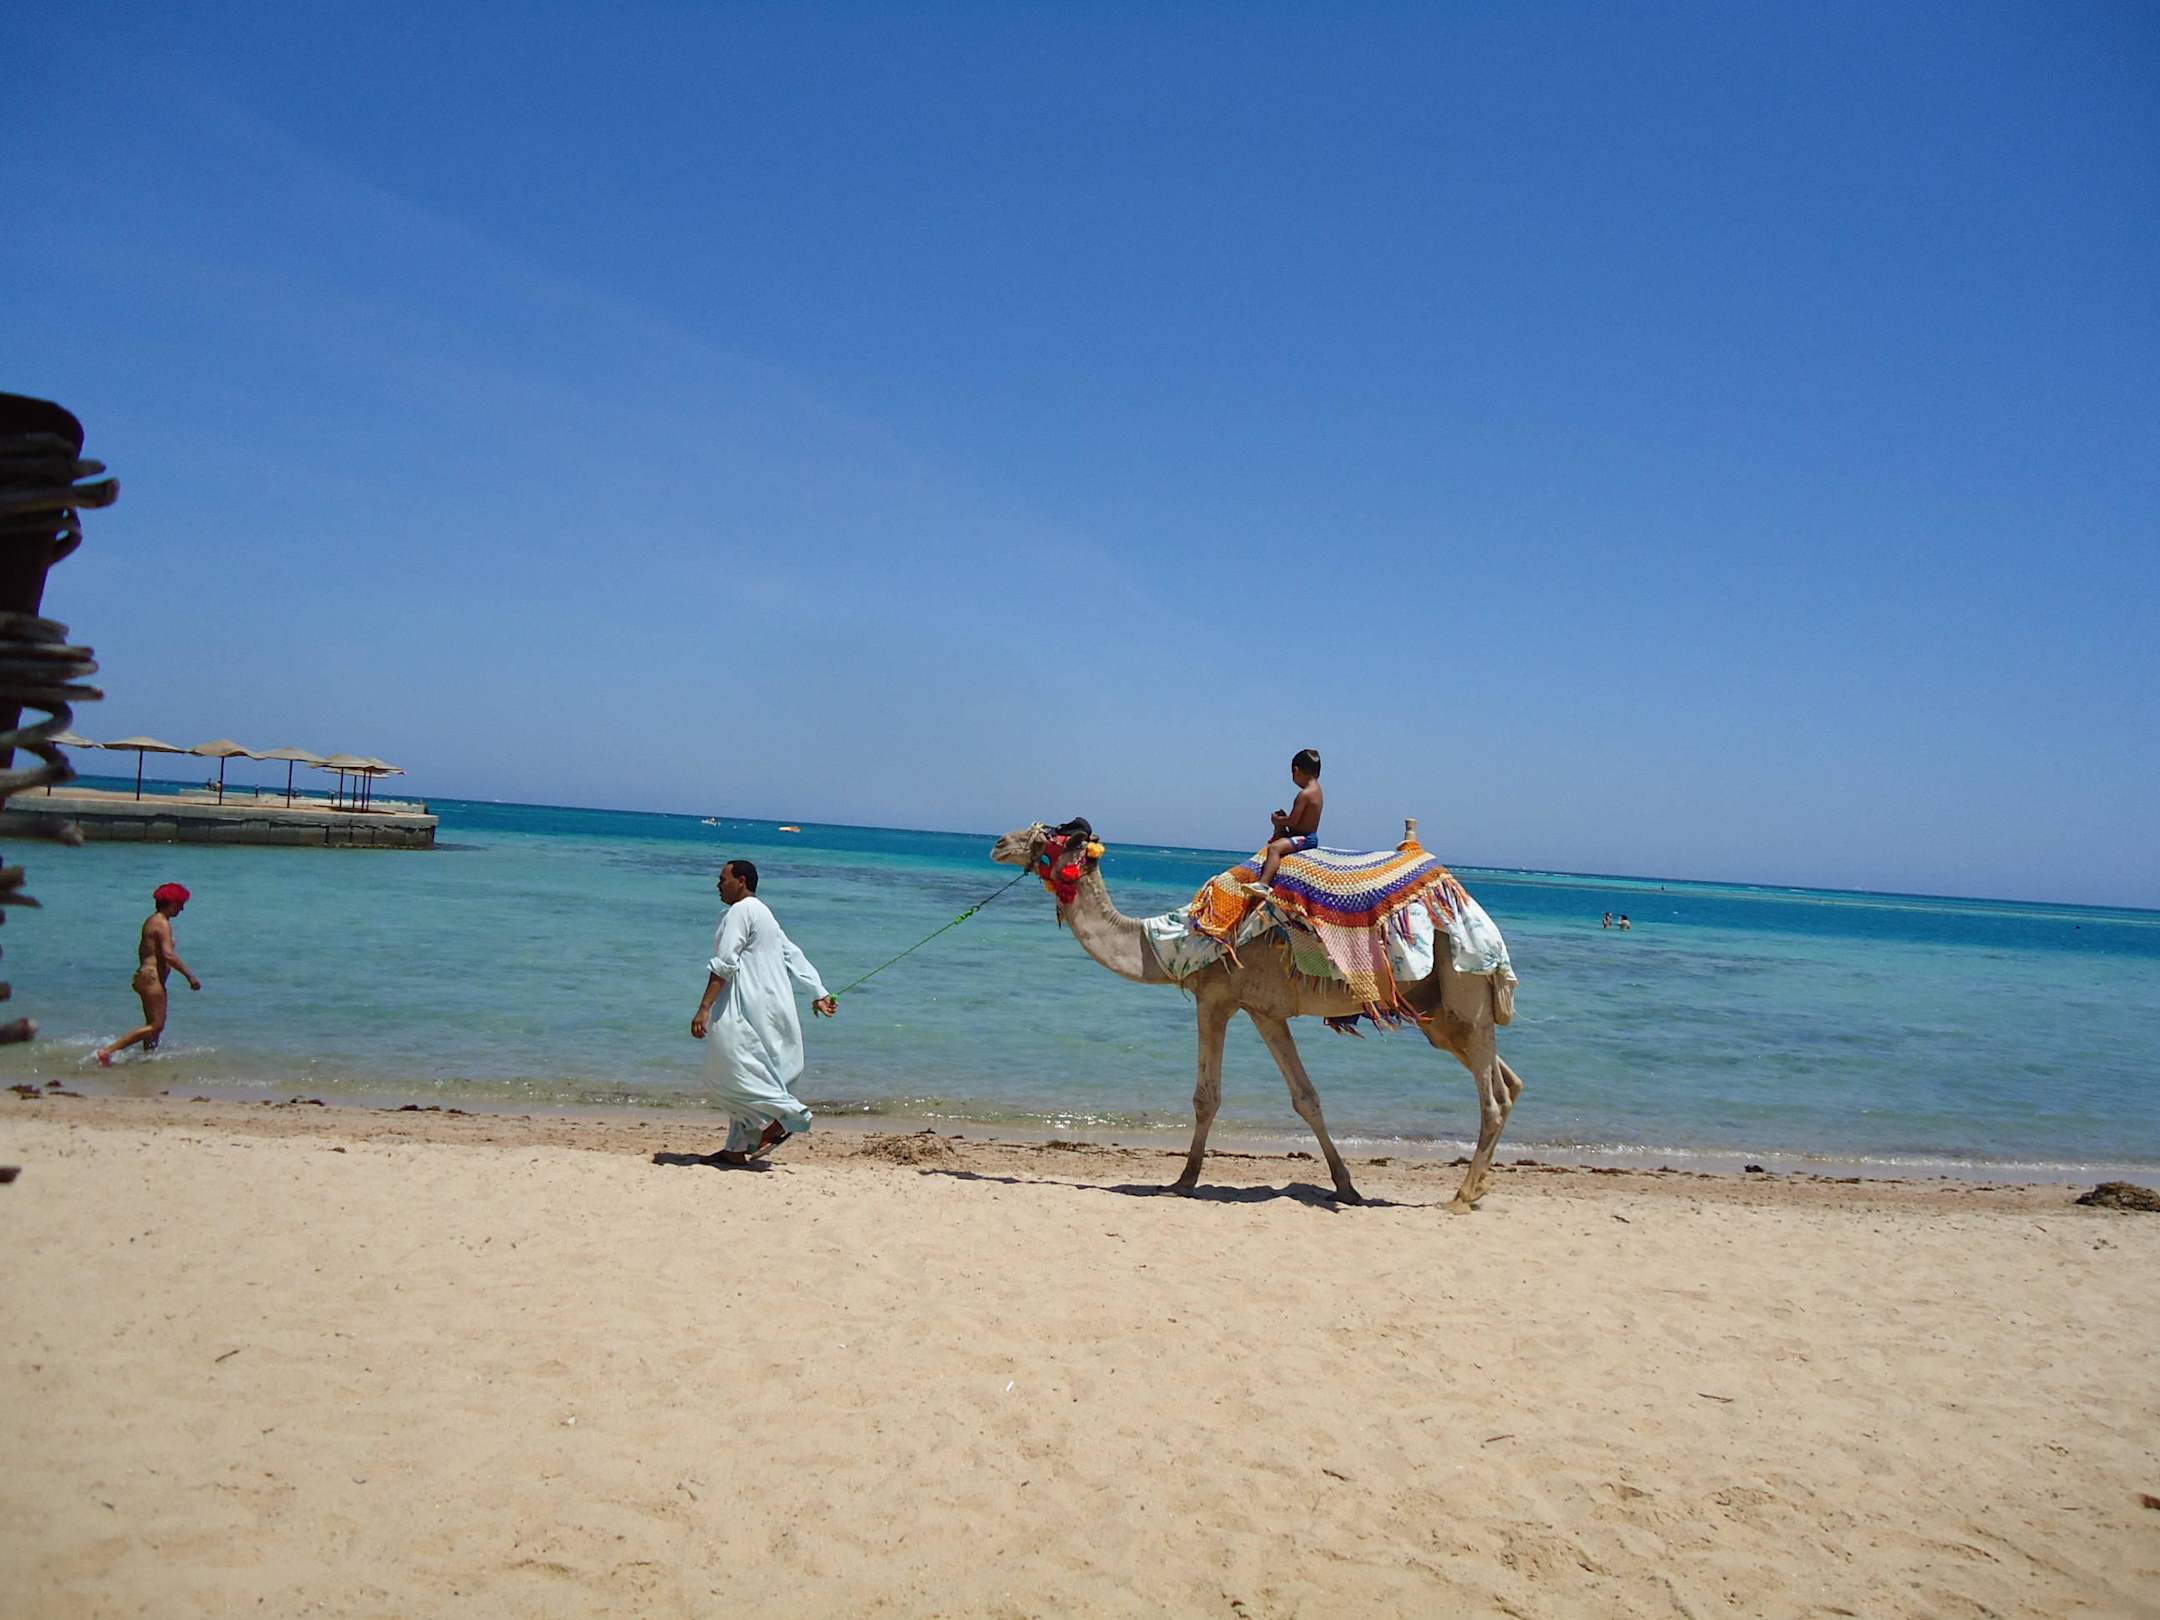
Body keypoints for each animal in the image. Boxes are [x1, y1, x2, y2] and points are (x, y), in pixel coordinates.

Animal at [990, 820, 1527, 1210]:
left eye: (1051, 836)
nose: (998, 842)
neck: (1170, 941)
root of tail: (1473, 908)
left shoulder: (1216, 999)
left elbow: (1207, 1097)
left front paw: (1182, 1180)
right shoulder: (1264, 1010)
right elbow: (1306, 1098)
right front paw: (1346, 1187)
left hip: (1465, 989)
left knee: (1494, 1095)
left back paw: (1460, 1197)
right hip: (1440, 1012)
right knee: (1510, 1081)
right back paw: (1480, 1188)